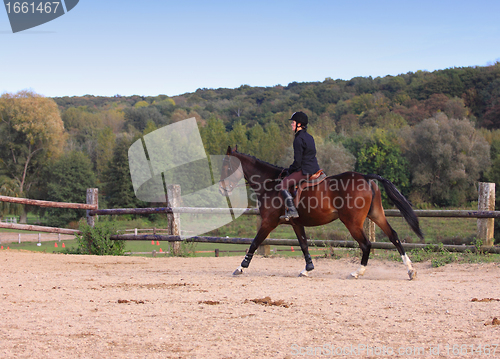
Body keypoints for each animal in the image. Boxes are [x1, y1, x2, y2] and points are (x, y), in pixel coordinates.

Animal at [217, 146, 424, 282]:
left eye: (227, 167)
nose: (222, 189)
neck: (270, 184)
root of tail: (366, 177)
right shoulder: (296, 223)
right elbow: (303, 245)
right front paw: (308, 269)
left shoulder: (268, 222)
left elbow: (254, 243)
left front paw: (240, 268)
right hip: (376, 215)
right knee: (394, 237)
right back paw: (410, 270)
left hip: (352, 222)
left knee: (366, 244)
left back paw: (358, 272)